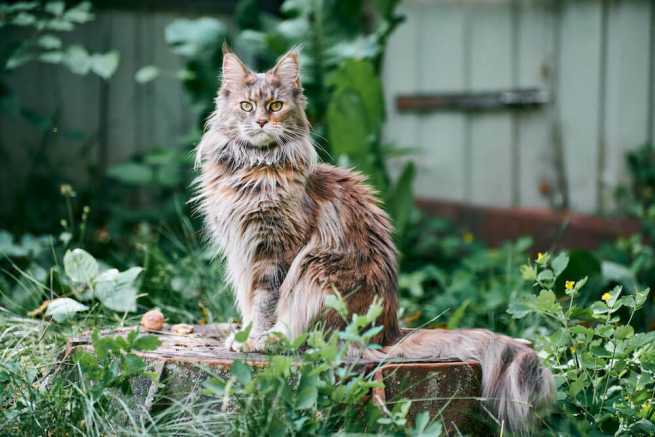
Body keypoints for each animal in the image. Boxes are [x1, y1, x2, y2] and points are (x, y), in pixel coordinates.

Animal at [193, 44, 552, 432]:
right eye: (246, 106)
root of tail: (389, 332)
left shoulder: (276, 252)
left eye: (275, 106)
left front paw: (256, 341)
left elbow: (265, 304)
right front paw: (242, 336)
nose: (260, 122)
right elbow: (250, 304)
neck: (252, 168)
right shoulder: (242, 253)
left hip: (315, 270)